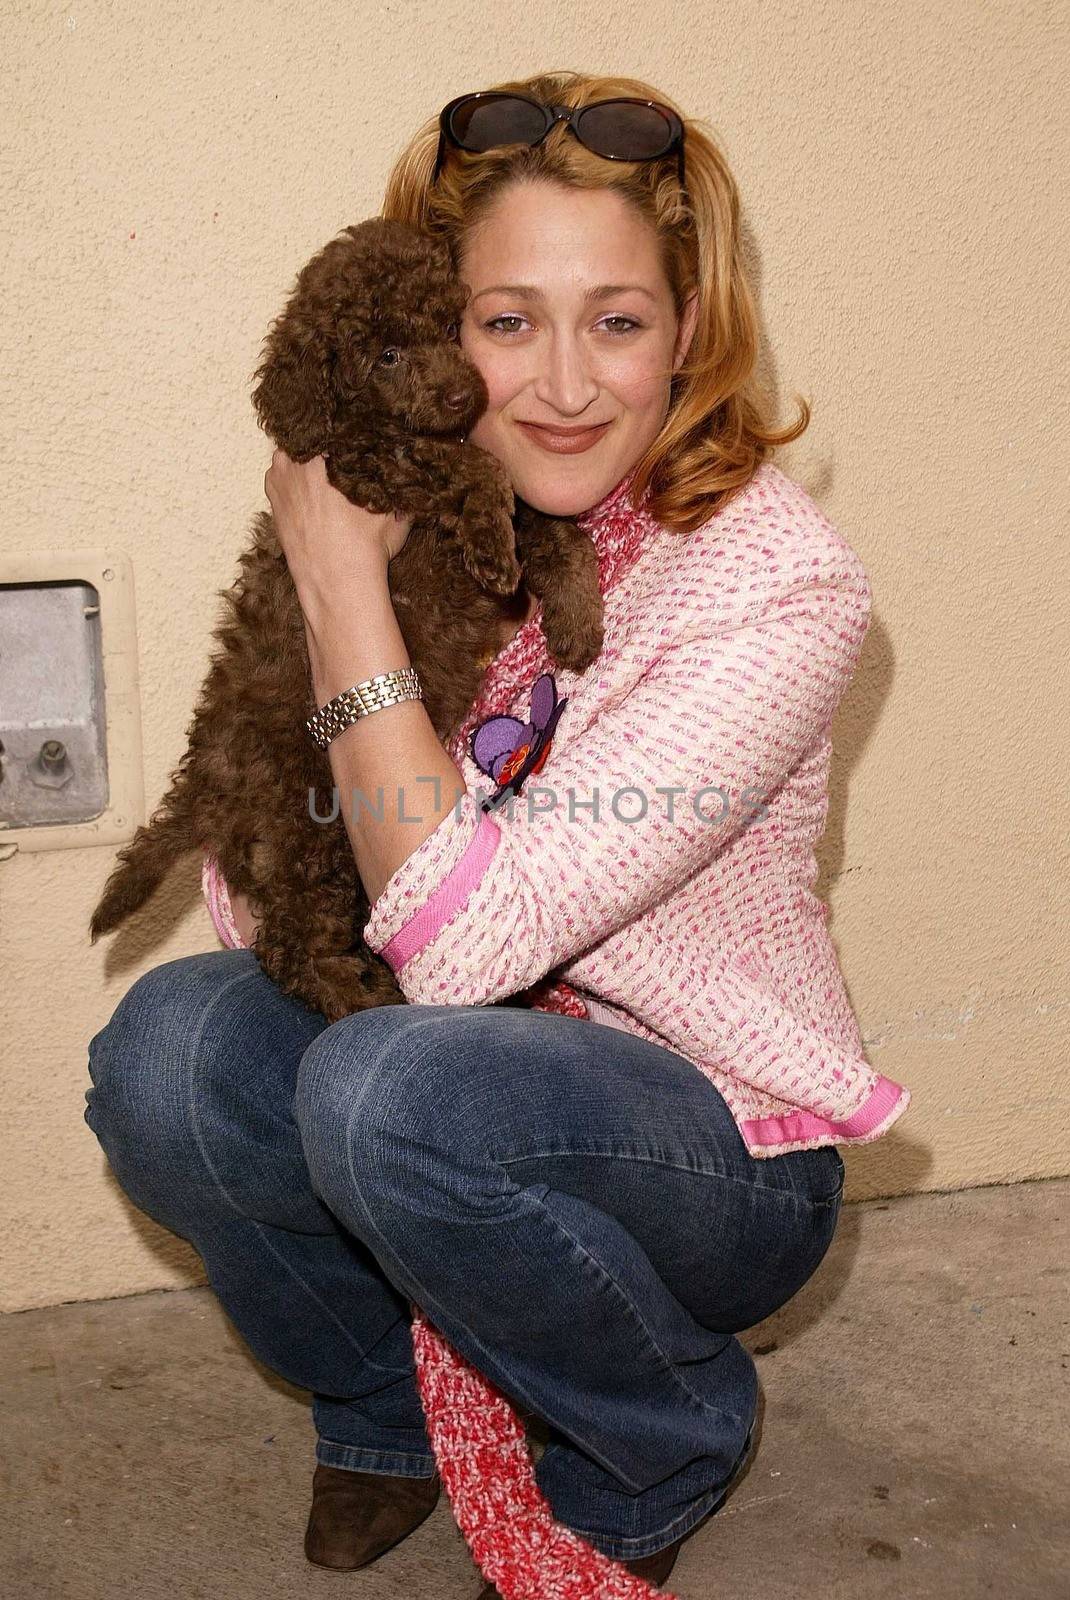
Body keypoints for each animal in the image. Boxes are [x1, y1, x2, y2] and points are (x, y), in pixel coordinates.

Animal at [87, 212, 604, 1017]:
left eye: (450, 326)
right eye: (386, 355)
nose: (462, 395)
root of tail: (203, 779)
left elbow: (555, 529)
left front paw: (577, 614)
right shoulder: (371, 464)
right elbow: (481, 470)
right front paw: (495, 539)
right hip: (310, 822)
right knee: (289, 945)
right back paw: (356, 1003)